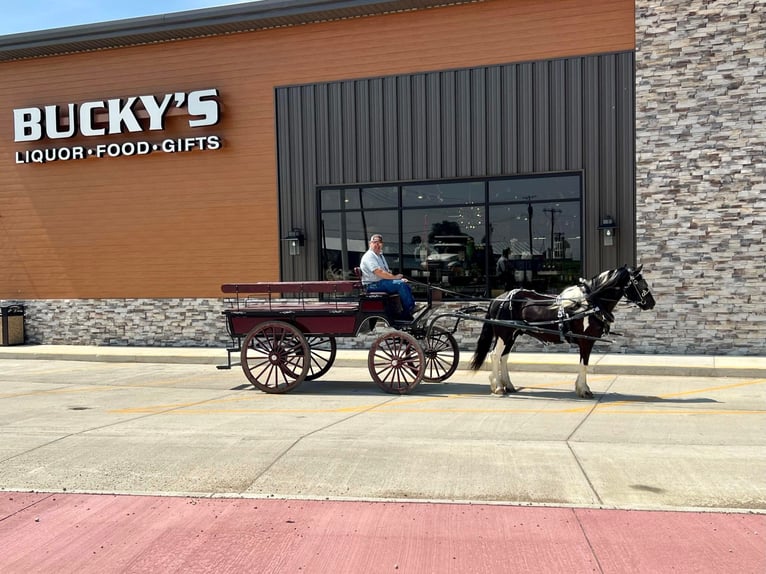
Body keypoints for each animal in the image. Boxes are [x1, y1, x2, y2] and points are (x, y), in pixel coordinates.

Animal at [472, 266, 656, 398]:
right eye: (639, 282)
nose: (651, 303)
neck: (591, 303)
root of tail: (498, 299)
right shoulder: (586, 340)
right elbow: (584, 364)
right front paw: (584, 390)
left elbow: (583, 364)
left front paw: (581, 388)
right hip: (504, 334)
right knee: (495, 355)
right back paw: (497, 387)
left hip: (513, 334)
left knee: (504, 357)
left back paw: (508, 385)